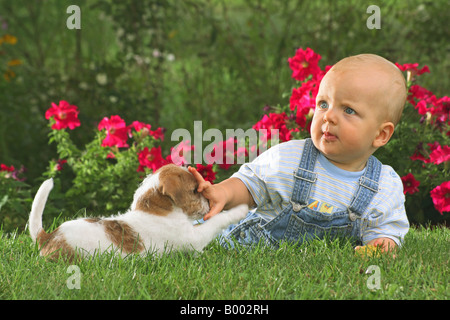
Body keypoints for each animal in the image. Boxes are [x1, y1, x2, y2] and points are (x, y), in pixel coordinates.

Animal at [28, 164, 248, 262]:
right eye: (195, 190)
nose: (210, 202)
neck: (157, 210)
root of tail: (49, 237)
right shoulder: (193, 237)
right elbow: (216, 221)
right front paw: (241, 209)